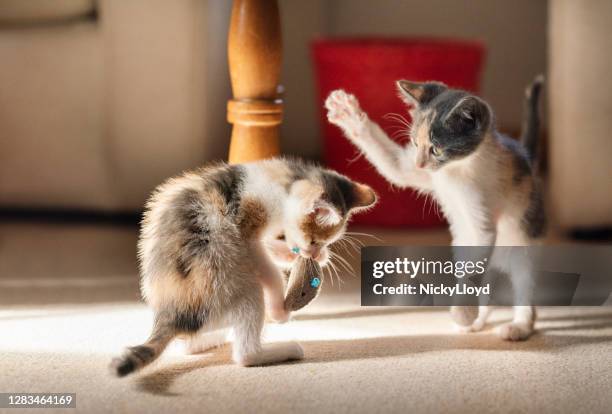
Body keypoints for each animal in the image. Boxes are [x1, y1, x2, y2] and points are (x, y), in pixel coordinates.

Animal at [112, 156, 376, 376]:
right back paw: (285, 349)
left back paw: (212, 340)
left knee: (189, 343)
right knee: (245, 353)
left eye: (326, 242)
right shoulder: (247, 228)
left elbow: (272, 246)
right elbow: (267, 267)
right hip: (235, 286)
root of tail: (171, 315)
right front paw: (279, 310)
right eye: (314, 240)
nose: (315, 252)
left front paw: (300, 256)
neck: (282, 181)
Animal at [326, 77, 544, 340]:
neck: (456, 170)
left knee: (525, 286)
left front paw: (462, 313)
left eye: (436, 149)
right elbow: (394, 166)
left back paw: (519, 326)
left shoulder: (483, 219)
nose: (420, 164)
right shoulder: (422, 173)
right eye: (415, 143)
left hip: (524, 246)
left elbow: (476, 257)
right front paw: (348, 113)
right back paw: (477, 321)